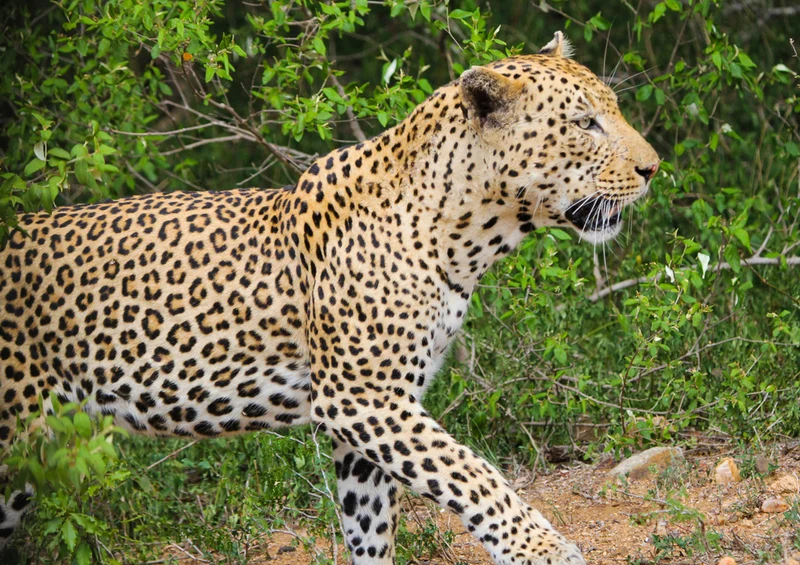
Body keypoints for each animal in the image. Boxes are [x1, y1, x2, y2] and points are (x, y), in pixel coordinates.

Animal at [0, 32, 658, 564]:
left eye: (614, 110)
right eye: (584, 124)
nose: (653, 169)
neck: (465, 235)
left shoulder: (372, 419)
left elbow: (372, 527)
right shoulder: (361, 397)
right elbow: (474, 475)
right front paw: (543, 548)